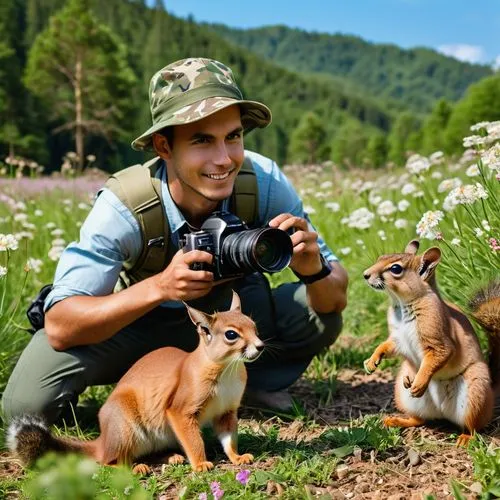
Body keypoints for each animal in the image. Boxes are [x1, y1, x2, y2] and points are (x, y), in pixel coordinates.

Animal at [5, 292, 264, 470]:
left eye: (255, 327)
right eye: (231, 335)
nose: (260, 346)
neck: (227, 370)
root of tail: (103, 439)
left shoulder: (226, 411)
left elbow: (229, 438)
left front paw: (237, 457)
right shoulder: (180, 411)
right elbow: (193, 441)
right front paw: (201, 464)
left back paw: (171, 457)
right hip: (126, 426)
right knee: (108, 461)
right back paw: (135, 468)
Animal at [364, 240, 500, 448]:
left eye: (396, 269)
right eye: (381, 257)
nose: (365, 274)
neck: (402, 305)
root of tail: (443, 412)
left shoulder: (437, 336)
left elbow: (439, 355)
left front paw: (420, 381)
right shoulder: (397, 339)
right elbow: (386, 347)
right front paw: (371, 362)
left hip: (475, 394)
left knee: (474, 426)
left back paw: (466, 438)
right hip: (404, 396)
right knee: (420, 419)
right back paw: (396, 420)